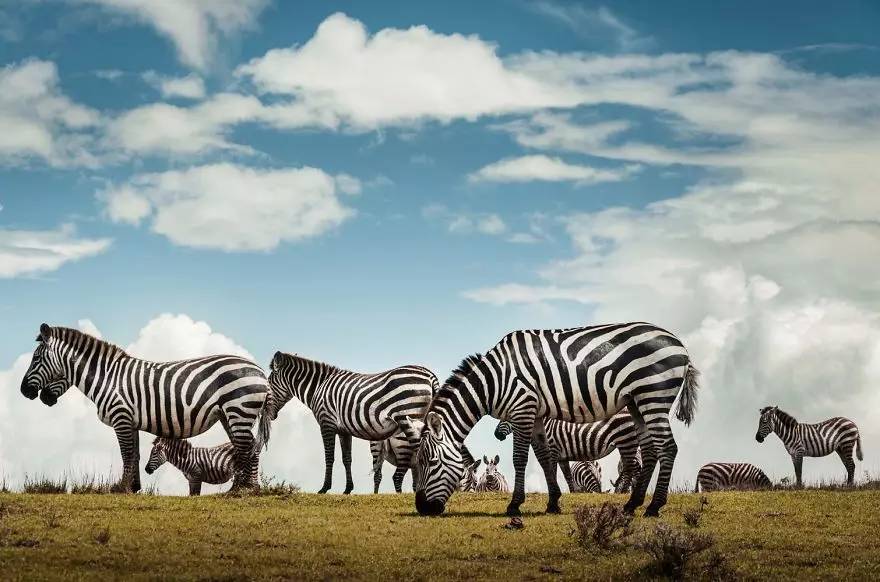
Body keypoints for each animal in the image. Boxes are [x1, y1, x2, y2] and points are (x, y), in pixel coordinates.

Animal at [18, 324, 268, 492]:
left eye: (36, 358)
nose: (24, 392)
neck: (107, 378)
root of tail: (259, 370)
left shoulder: (121, 416)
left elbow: (126, 453)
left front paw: (121, 488)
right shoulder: (131, 421)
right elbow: (135, 453)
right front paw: (134, 486)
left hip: (238, 409)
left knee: (246, 447)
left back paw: (241, 489)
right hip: (230, 414)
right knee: (247, 448)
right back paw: (247, 488)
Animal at [264, 354, 436, 496]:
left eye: (269, 383)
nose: (267, 412)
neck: (319, 387)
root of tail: (429, 374)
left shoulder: (326, 423)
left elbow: (329, 456)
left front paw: (324, 488)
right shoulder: (343, 430)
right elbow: (347, 458)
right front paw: (348, 489)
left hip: (409, 417)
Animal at [492, 410, 644, 498]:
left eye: (507, 417)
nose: (496, 434)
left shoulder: (553, 451)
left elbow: (552, 473)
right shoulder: (562, 457)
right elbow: (568, 477)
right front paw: (573, 494)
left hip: (626, 440)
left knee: (632, 469)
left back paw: (626, 492)